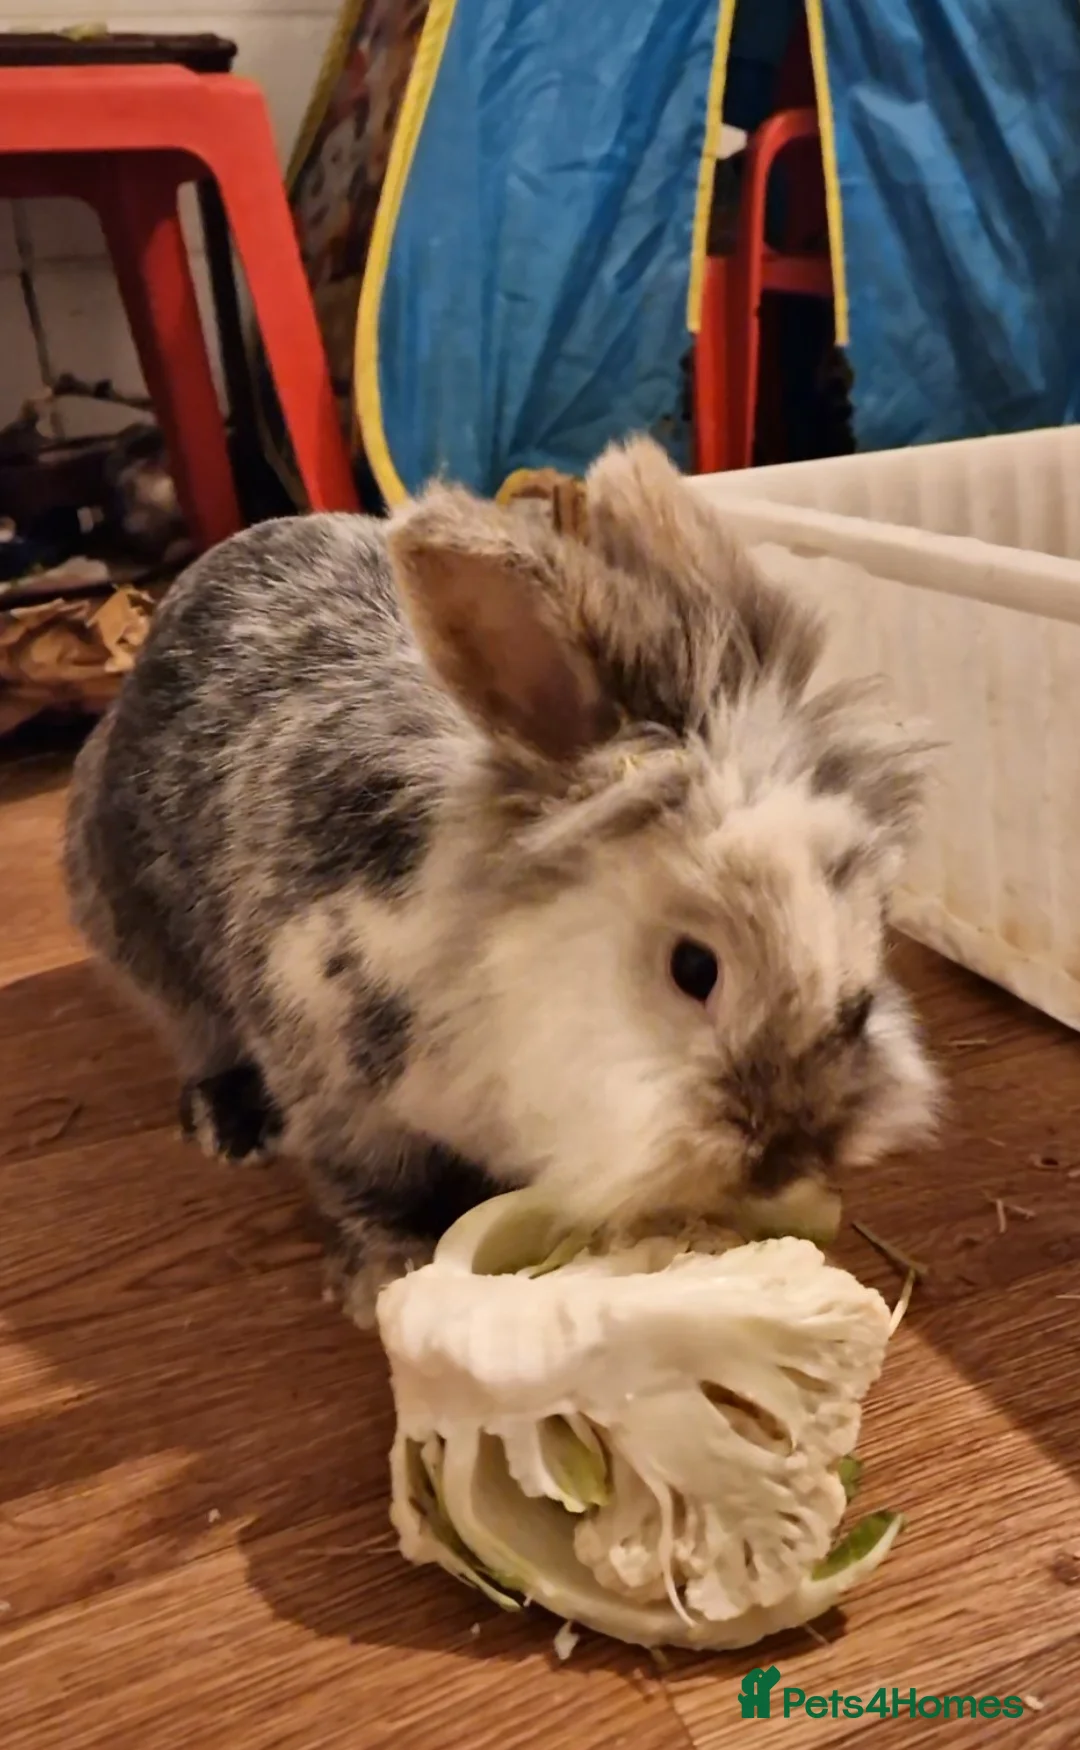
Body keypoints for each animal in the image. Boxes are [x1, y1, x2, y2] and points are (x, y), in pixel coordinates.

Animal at [64, 435, 940, 1327]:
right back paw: (231, 1124)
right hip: (131, 924)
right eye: (695, 968)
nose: (790, 1152)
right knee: (192, 1029)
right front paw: (383, 1273)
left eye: (867, 974)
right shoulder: (327, 1072)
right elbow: (368, 1183)